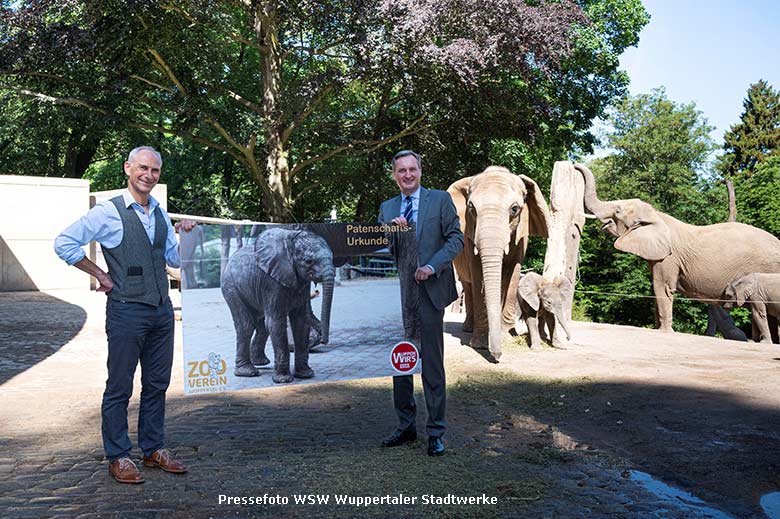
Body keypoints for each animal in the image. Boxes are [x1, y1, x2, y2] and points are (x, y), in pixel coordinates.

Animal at [219, 230, 336, 384]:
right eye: (308, 261)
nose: (323, 340)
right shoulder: (271, 282)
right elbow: (276, 322)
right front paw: (283, 380)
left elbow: (301, 321)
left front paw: (306, 375)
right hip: (231, 287)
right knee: (246, 326)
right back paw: (248, 372)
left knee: (262, 327)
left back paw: (260, 362)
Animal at [448, 168, 552, 362]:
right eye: (471, 208)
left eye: (515, 209)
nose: (497, 357)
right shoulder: (470, 236)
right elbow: (477, 274)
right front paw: (480, 344)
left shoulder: (521, 236)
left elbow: (513, 274)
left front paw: (507, 337)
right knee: (468, 285)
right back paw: (468, 328)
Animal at [572, 165, 780, 332]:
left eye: (617, 211)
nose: (575, 165)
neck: (657, 216)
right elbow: (655, 287)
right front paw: (658, 328)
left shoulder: (670, 257)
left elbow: (661, 286)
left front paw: (664, 331)